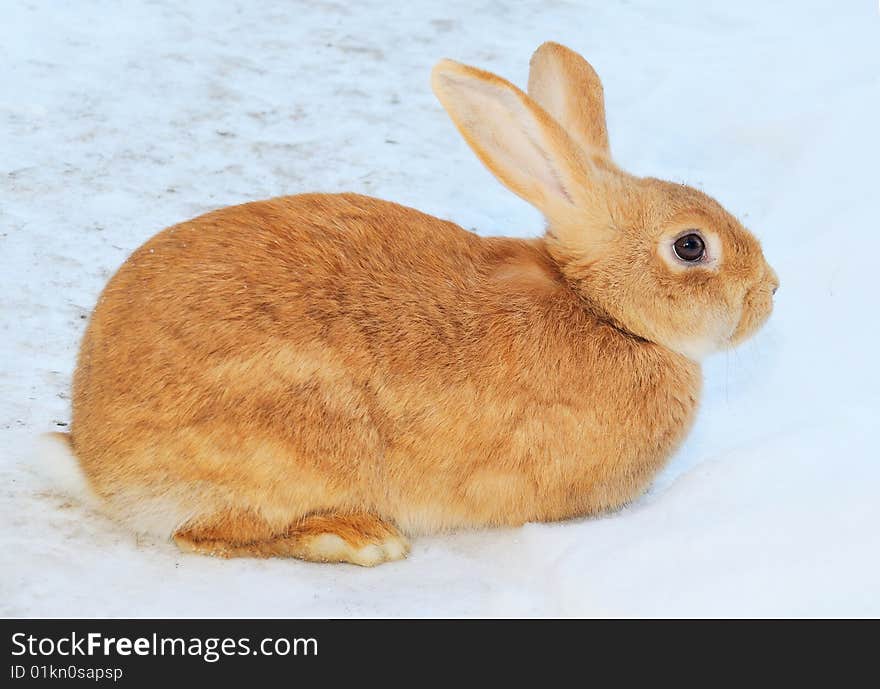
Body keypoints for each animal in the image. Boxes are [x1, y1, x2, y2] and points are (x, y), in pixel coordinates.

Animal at [49, 41, 776, 564]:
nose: (769, 292)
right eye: (691, 246)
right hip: (289, 451)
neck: (601, 307)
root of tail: (96, 458)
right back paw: (357, 538)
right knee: (208, 534)